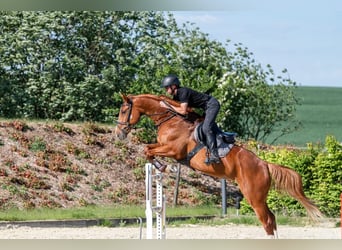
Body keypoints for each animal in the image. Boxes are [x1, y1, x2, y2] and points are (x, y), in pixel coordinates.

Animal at [115, 93, 324, 236]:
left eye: (124, 110)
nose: (119, 133)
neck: (171, 119)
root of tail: (264, 164)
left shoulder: (173, 150)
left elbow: (148, 150)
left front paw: (162, 166)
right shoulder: (164, 146)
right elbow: (147, 148)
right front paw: (162, 166)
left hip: (253, 196)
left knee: (266, 221)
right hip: (259, 196)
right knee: (272, 218)